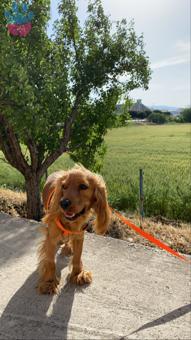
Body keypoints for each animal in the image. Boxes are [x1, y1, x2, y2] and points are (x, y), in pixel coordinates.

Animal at [37, 165, 110, 294]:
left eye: (83, 186)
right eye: (64, 186)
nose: (63, 203)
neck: (70, 222)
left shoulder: (79, 236)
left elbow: (77, 257)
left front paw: (78, 274)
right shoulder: (51, 238)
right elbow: (50, 261)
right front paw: (49, 283)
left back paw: (68, 247)